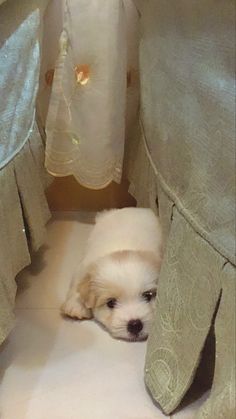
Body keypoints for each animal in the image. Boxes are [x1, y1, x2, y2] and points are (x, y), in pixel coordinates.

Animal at [61, 207, 162, 342]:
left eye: (148, 296)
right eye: (111, 303)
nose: (135, 325)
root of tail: (134, 208)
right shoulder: (83, 266)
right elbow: (77, 283)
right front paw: (76, 307)